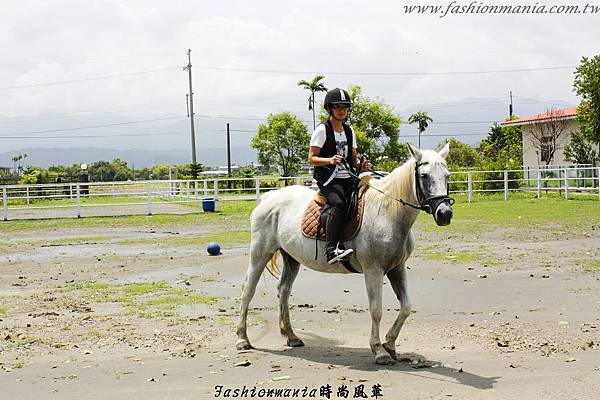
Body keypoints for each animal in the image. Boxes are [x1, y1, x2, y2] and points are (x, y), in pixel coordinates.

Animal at [237, 144, 452, 366]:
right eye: (424, 176)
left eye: (447, 175)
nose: (444, 214)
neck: (387, 212)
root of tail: (268, 197)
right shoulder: (373, 271)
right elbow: (376, 310)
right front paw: (379, 350)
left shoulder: (396, 268)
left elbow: (406, 307)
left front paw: (390, 344)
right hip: (260, 252)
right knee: (248, 290)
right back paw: (243, 339)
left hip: (291, 258)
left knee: (284, 290)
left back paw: (291, 336)